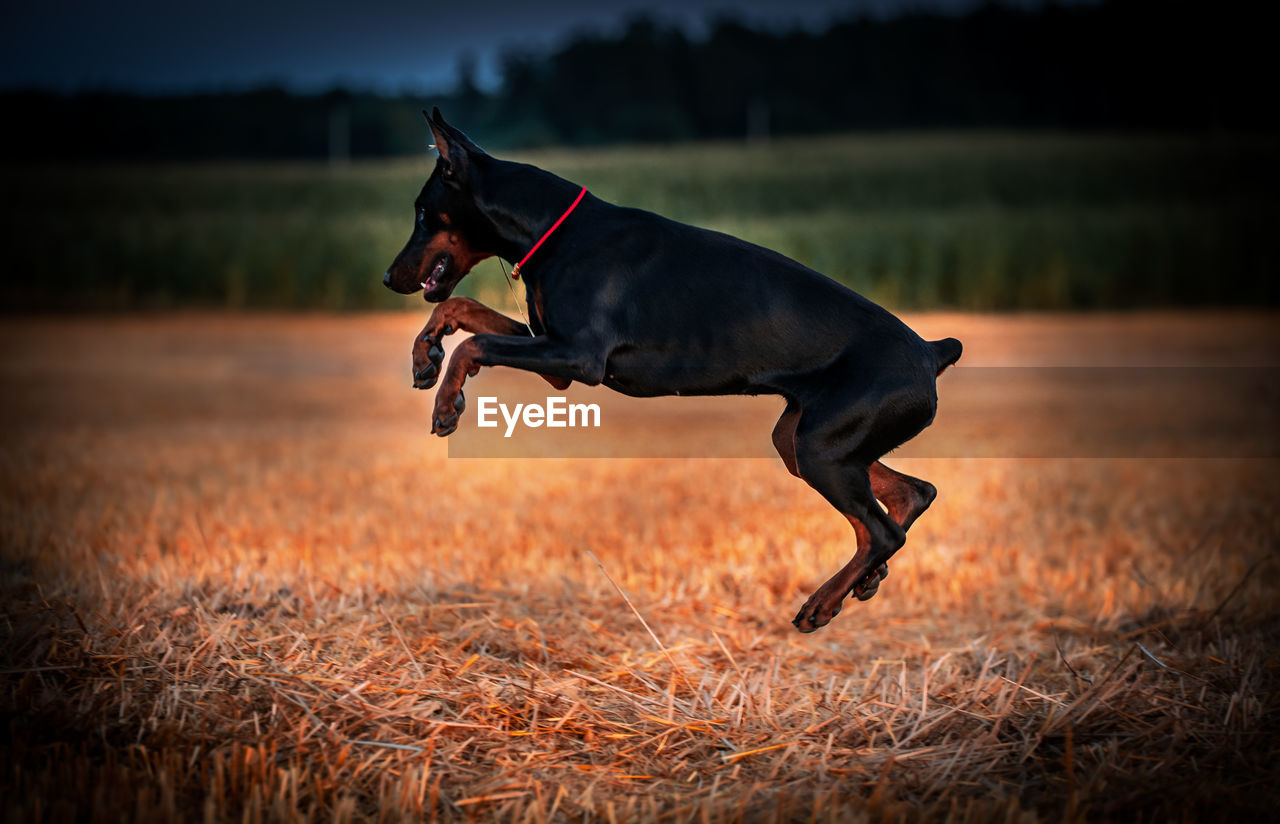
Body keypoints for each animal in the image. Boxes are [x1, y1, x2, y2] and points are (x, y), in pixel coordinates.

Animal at [378, 109, 962, 632]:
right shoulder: (554, 351)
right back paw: (865, 580)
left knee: (882, 532)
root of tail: (931, 351)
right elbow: (461, 310)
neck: (554, 230)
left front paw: (447, 401)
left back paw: (822, 602)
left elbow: (476, 343)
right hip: (804, 439)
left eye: (423, 214)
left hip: (823, 444)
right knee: (910, 497)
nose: (387, 278)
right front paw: (425, 353)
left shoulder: (577, 355)